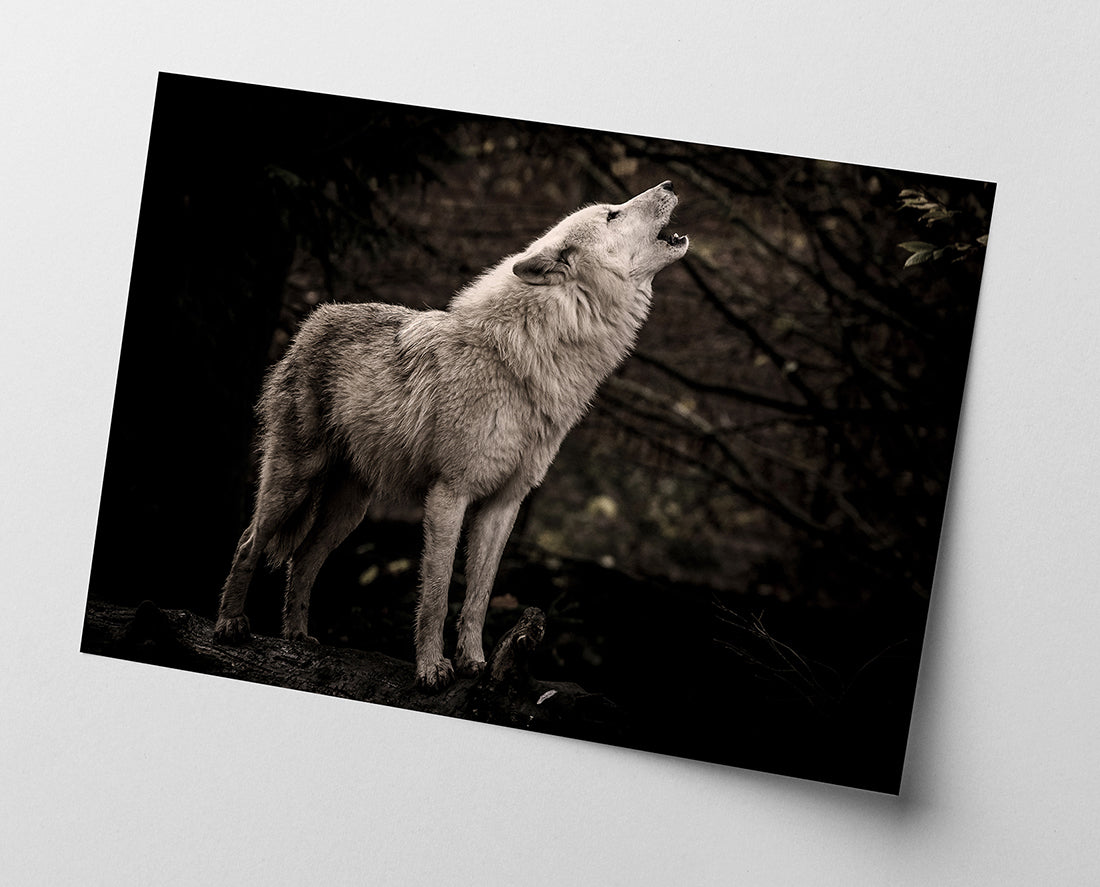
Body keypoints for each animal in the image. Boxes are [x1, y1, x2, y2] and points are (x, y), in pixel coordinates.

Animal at [214, 181, 689, 690]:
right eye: (612, 214)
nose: (668, 184)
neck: (526, 361)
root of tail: (316, 317)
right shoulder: (449, 494)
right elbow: (438, 594)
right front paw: (431, 669)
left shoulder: (504, 504)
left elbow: (479, 595)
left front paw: (477, 664)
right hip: (294, 481)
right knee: (249, 542)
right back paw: (230, 625)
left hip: (351, 509)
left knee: (302, 559)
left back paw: (298, 636)